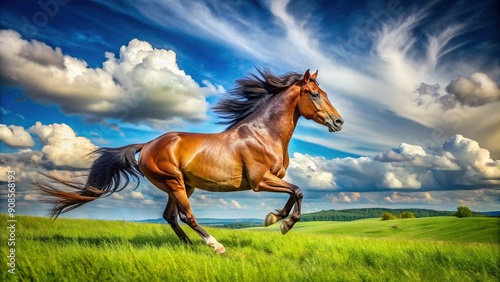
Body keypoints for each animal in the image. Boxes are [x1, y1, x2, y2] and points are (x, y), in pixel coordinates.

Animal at [37, 68, 344, 253]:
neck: (263, 133)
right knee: (186, 216)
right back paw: (215, 246)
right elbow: (298, 191)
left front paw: (275, 218)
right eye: (315, 94)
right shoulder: (260, 181)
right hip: (174, 182)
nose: (339, 122)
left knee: (170, 216)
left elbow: (293, 194)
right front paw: (283, 223)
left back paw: (190, 247)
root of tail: (146, 145)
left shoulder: (272, 180)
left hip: (182, 185)